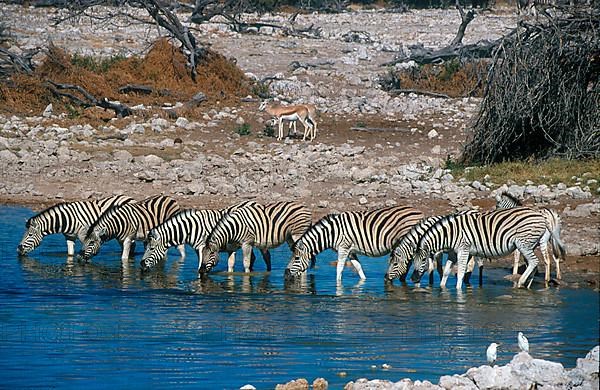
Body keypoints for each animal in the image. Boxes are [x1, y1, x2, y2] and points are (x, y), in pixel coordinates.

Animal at [139, 203, 268, 272]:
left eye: (151, 249)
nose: (141, 265)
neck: (191, 229)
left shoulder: (202, 246)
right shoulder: (198, 249)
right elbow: (201, 262)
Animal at [284, 206, 422, 284]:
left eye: (296, 258)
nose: (285, 275)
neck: (331, 233)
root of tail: (418, 211)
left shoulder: (343, 247)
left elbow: (339, 268)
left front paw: (338, 286)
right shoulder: (351, 251)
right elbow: (358, 267)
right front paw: (363, 281)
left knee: (408, 261)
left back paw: (403, 278)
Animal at [408, 209, 564, 288]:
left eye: (423, 259)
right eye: (412, 259)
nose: (413, 278)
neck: (450, 234)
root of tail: (542, 216)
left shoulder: (464, 249)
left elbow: (461, 272)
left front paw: (458, 292)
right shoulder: (452, 253)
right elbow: (446, 272)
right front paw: (442, 288)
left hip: (523, 244)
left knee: (534, 262)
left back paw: (520, 283)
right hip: (530, 244)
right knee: (534, 264)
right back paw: (527, 285)